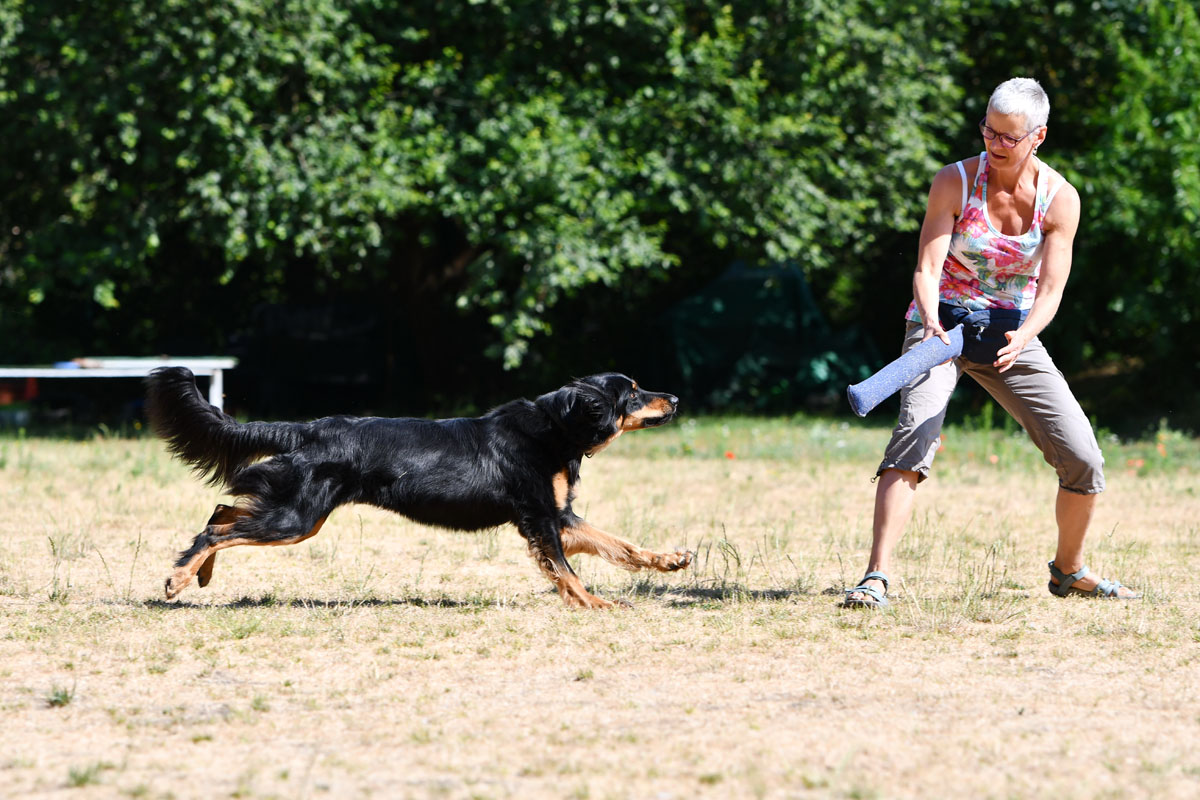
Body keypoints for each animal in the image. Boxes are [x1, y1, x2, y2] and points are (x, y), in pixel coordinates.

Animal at [145, 371, 691, 609]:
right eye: (633, 392)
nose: (676, 398)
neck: (557, 425)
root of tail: (307, 429)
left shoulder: (559, 519)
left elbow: (620, 545)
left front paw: (671, 560)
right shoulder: (539, 519)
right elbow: (568, 571)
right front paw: (597, 605)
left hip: (297, 513)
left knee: (221, 511)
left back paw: (198, 575)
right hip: (295, 518)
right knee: (218, 529)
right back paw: (179, 579)